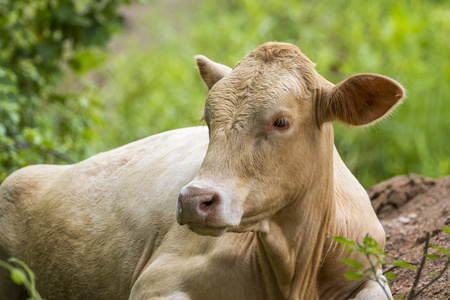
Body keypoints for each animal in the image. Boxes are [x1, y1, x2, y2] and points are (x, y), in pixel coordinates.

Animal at [0, 42, 402, 300]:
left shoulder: (371, 270)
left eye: (280, 121)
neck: (293, 269)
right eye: (208, 120)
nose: (195, 200)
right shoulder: (156, 281)